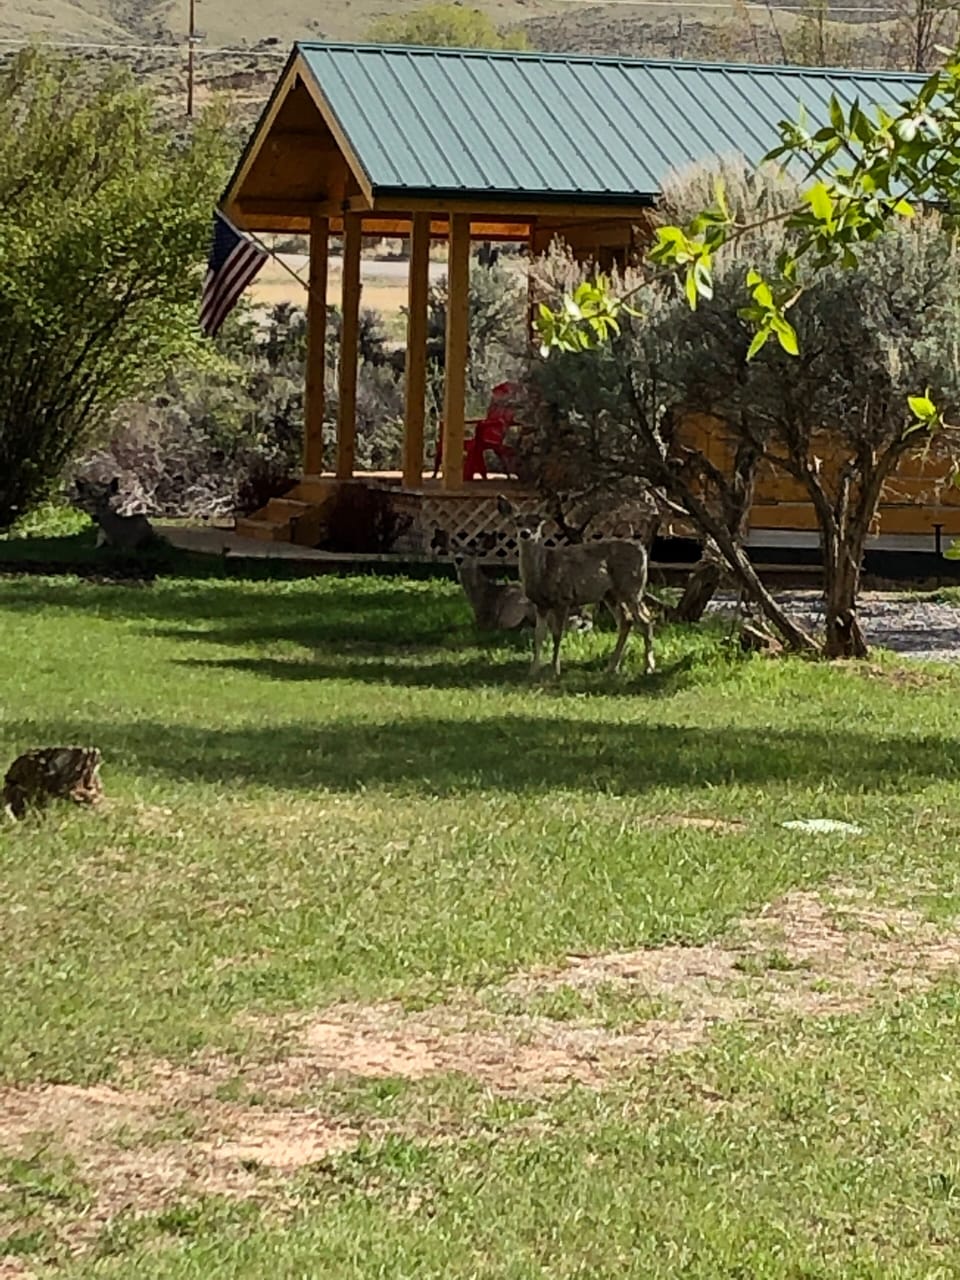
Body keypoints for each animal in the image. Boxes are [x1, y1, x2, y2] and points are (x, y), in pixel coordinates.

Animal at [497, 496, 654, 678]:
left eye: (537, 522)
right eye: (517, 522)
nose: (525, 533)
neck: (543, 569)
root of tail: (643, 551)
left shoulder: (563, 599)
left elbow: (557, 634)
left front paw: (554, 670)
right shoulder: (540, 604)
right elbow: (539, 635)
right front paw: (533, 670)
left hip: (632, 587)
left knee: (645, 620)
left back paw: (649, 667)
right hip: (611, 594)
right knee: (626, 621)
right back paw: (612, 667)